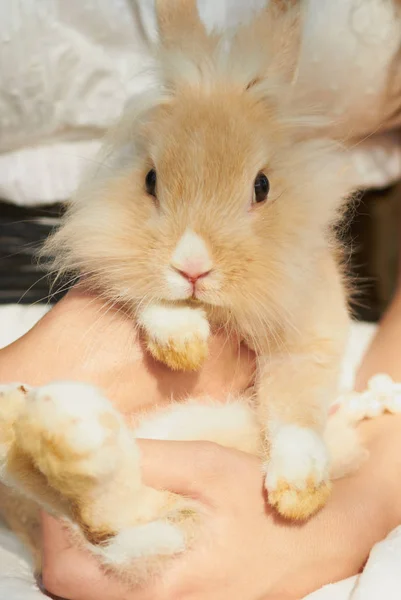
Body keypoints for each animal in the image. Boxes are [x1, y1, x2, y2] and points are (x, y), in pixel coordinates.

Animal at [0, 0, 370, 584]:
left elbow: (296, 409)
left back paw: (52, 427)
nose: (192, 266)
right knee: (100, 517)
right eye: (150, 180)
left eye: (262, 186)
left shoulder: (309, 331)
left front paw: (299, 494)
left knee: (105, 518)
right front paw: (183, 344)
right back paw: (53, 427)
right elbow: (151, 299)